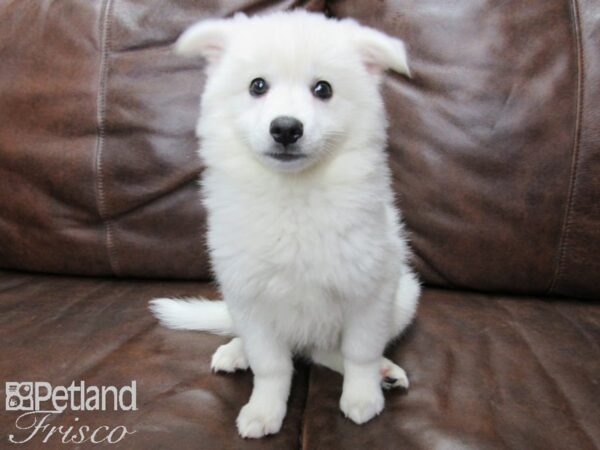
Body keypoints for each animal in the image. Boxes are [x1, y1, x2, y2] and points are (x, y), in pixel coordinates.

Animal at [150, 10, 420, 440]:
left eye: (323, 89)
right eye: (257, 86)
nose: (286, 129)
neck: (293, 193)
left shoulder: (369, 289)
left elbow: (359, 351)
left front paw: (363, 396)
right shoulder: (249, 295)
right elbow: (272, 365)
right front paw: (263, 409)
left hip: (405, 295)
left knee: (327, 350)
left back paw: (385, 372)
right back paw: (236, 350)